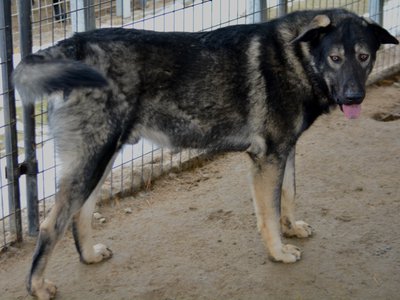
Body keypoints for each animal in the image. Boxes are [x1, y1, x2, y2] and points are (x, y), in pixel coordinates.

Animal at [14, 8, 398, 298]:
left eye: (364, 57)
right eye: (334, 58)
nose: (354, 97)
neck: (297, 58)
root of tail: (73, 45)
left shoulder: (285, 151)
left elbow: (288, 195)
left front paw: (291, 228)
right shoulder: (267, 158)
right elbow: (269, 213)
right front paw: (278, 252)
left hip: (102, 159)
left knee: (80, 214)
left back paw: (90, 256)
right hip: (92, 160)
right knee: (50, 224)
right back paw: (37, 286)